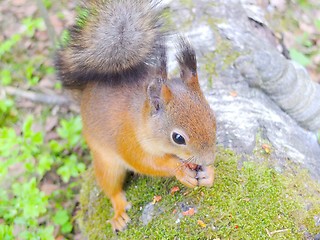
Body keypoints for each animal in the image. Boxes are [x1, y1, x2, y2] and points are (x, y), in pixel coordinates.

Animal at [55, 0, 218, 232]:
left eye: (213, 120)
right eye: (178, 138)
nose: (209, 160)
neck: (141, 119)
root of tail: (86, 93)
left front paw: (208, 174)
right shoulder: (128, 141)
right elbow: (146, 162)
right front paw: (179, 171)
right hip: (106, 162)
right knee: (111, 187)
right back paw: (119, 212)